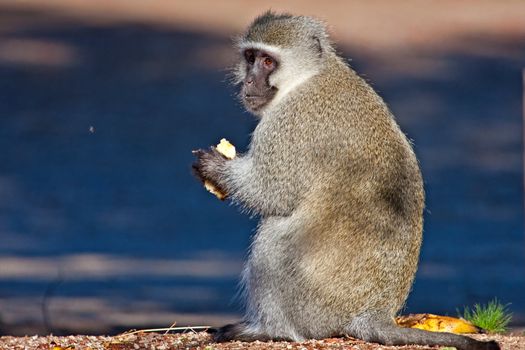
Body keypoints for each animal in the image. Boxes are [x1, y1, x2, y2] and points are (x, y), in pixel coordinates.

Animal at [191, 10, 500, 350]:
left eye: (268, 62)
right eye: (250, 57)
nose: (248, 81)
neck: (309, 75)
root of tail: (375, 311)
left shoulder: (289, 122)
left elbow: (270, 193)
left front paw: (213, 167)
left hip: (316, 307)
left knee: (275, 235)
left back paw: (272, 329)